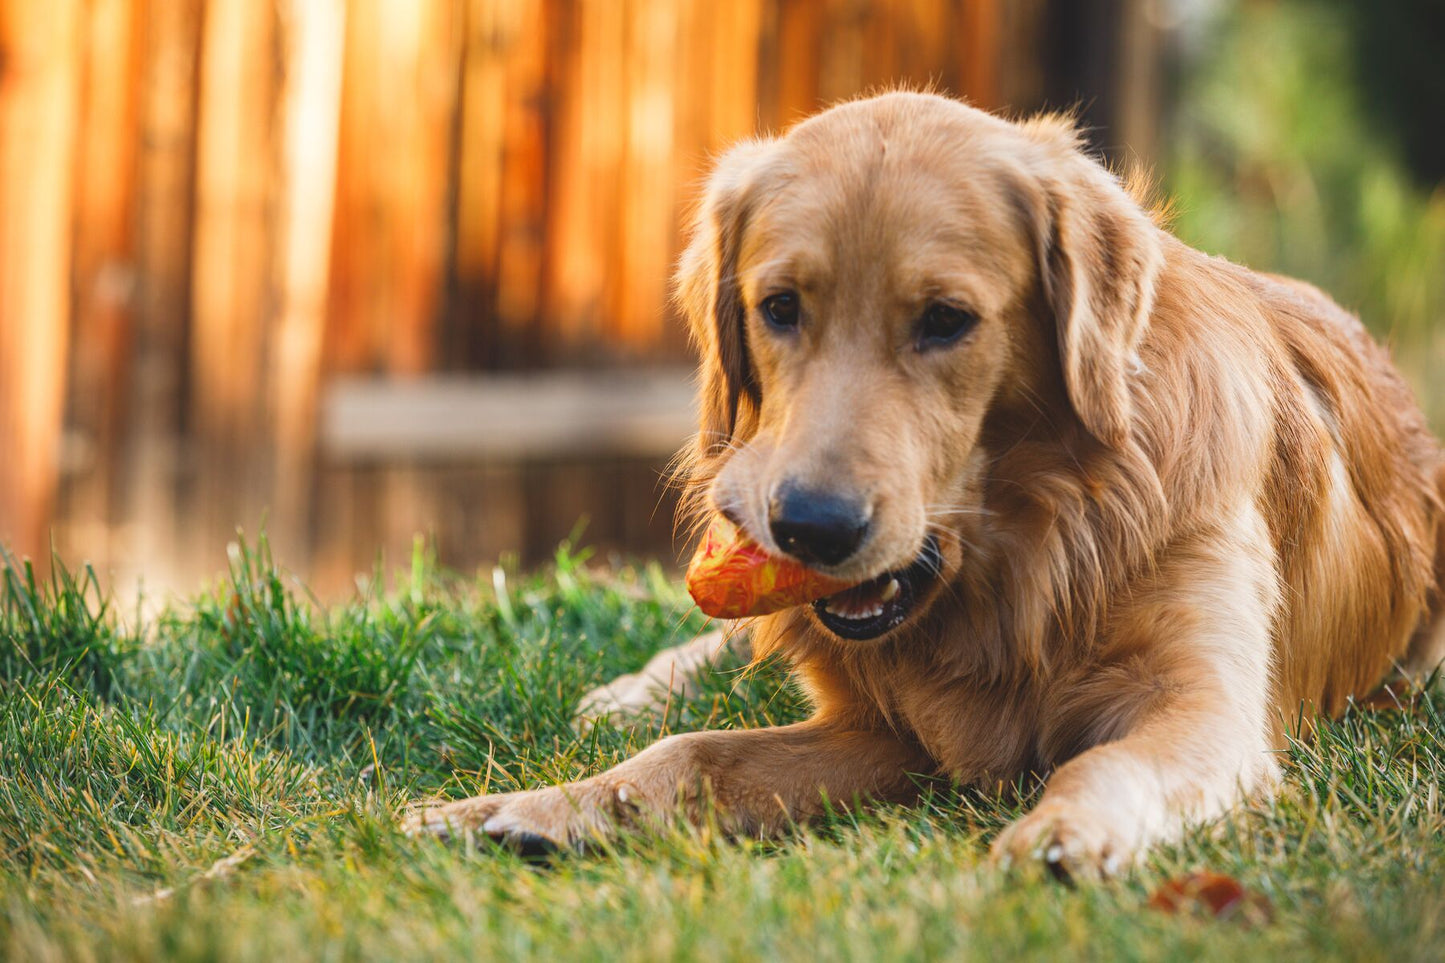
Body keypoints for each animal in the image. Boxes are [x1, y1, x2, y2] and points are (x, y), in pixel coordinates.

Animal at [407, 93, 1445, 873]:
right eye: (778, 307)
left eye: (946, 319)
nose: (813, 526)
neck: (1028, 555)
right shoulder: (878, 730)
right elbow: (691, 753)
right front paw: (530, 804)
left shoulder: (1203, 710)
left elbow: (1107, 765)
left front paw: (1065, 833)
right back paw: (627, 690)